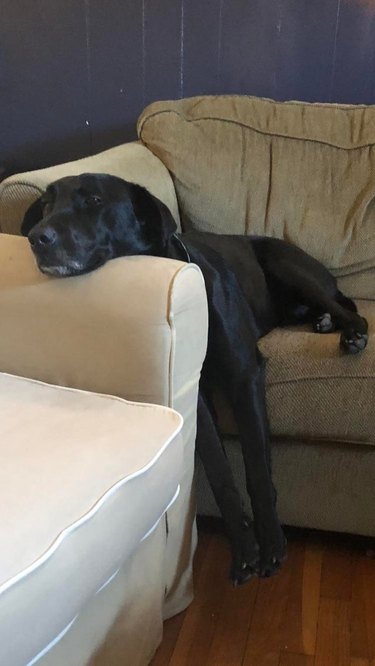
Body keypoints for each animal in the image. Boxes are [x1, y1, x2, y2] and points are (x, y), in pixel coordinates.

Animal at [21, 171, 370, 580]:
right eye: (46, 204)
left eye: (93, 200)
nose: (36, 238)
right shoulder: (196, 393)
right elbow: (220, 472)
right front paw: (245, 549)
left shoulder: (243, 375)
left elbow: (255, 464)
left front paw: (271, 543)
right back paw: (324, 321)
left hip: (286, 264)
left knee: (350, 309)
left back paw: (349, 331)